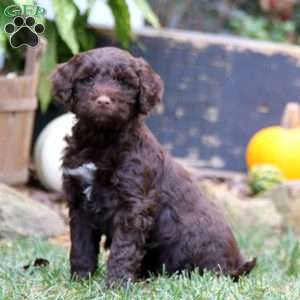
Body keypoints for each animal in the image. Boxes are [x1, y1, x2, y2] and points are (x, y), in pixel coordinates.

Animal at [51, 47, 255, 286]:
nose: (103, 101)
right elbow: (81, 245)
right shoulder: (79, 202)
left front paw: (116, 285)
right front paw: (81, 280)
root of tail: (237, 265)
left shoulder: (133, 205)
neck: (101, 140)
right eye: (88, 78)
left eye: (124, 82)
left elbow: (123, 249)